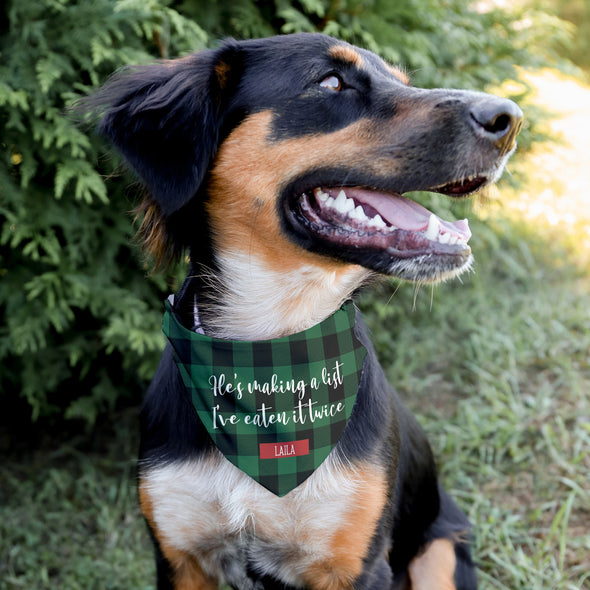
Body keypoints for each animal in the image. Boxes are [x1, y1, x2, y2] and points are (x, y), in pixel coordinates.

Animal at [88, 33, 524, 590]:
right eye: (331, 82)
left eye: (403, 82)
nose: (510, 118)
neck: (272, 356)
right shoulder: (179, 556)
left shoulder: (358, 564)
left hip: (440, 551)